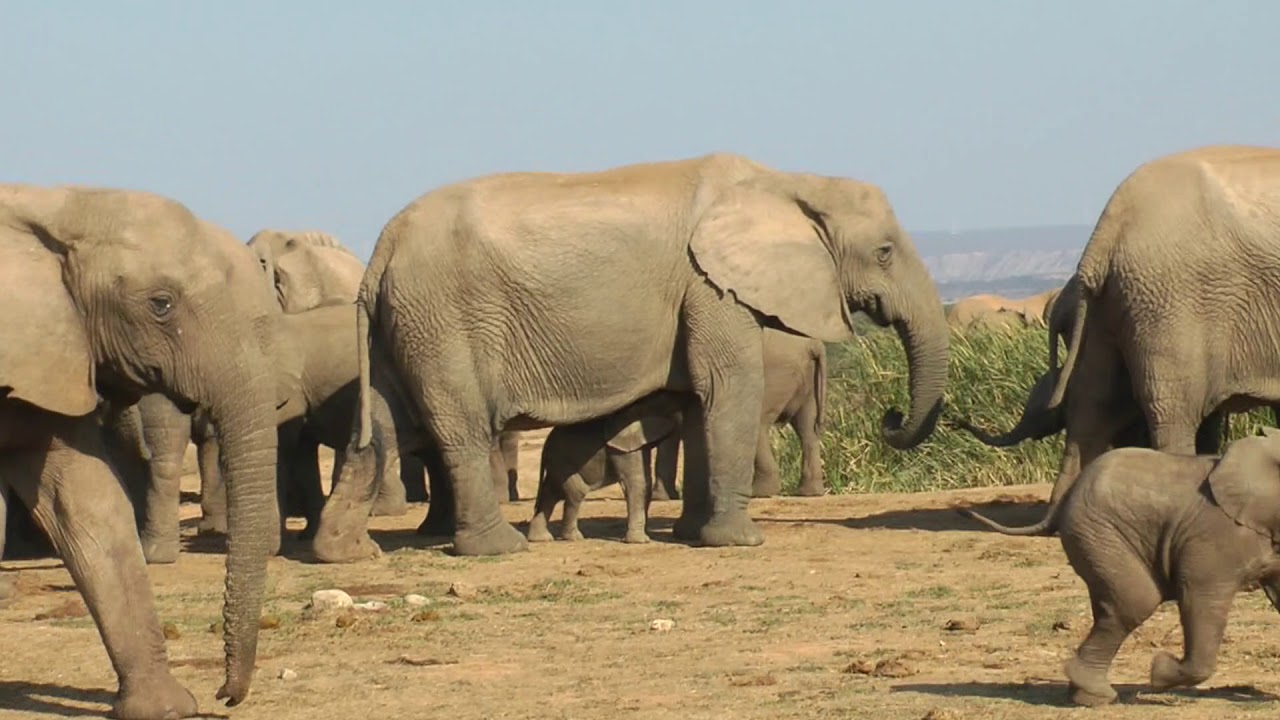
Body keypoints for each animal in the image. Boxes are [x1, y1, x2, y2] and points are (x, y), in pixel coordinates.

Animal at [0, 185, 279, 717]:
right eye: (161, 304)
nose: (225, 695)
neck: (58, 202)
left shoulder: (54, 356)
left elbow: (87, 501)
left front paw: (164, 708)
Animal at [528, 395, 687, 544]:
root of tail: (545, 449)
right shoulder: (620, 444)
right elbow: (637, 481)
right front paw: (640, 541)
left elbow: (644, 481)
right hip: (563, 463)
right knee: (575, 492)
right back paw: (573, 538)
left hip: (557, 465)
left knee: (551, 493)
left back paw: (541, 539)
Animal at [650, 327, 829, 499]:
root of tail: (813, 344)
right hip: (807, 381)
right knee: (807, 429)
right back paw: (809, 493)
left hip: (771, 375)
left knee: (759, 424)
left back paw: (758, 493)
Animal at [959, 428, 1280, 707]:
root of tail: (1066, 498)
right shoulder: (1213, 538)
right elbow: (1201, 596)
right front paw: (1158, 673)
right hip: (1101, 533)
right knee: (1135, 602)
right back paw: (1097, 697)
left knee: (1110, 607)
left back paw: (1084, 695)